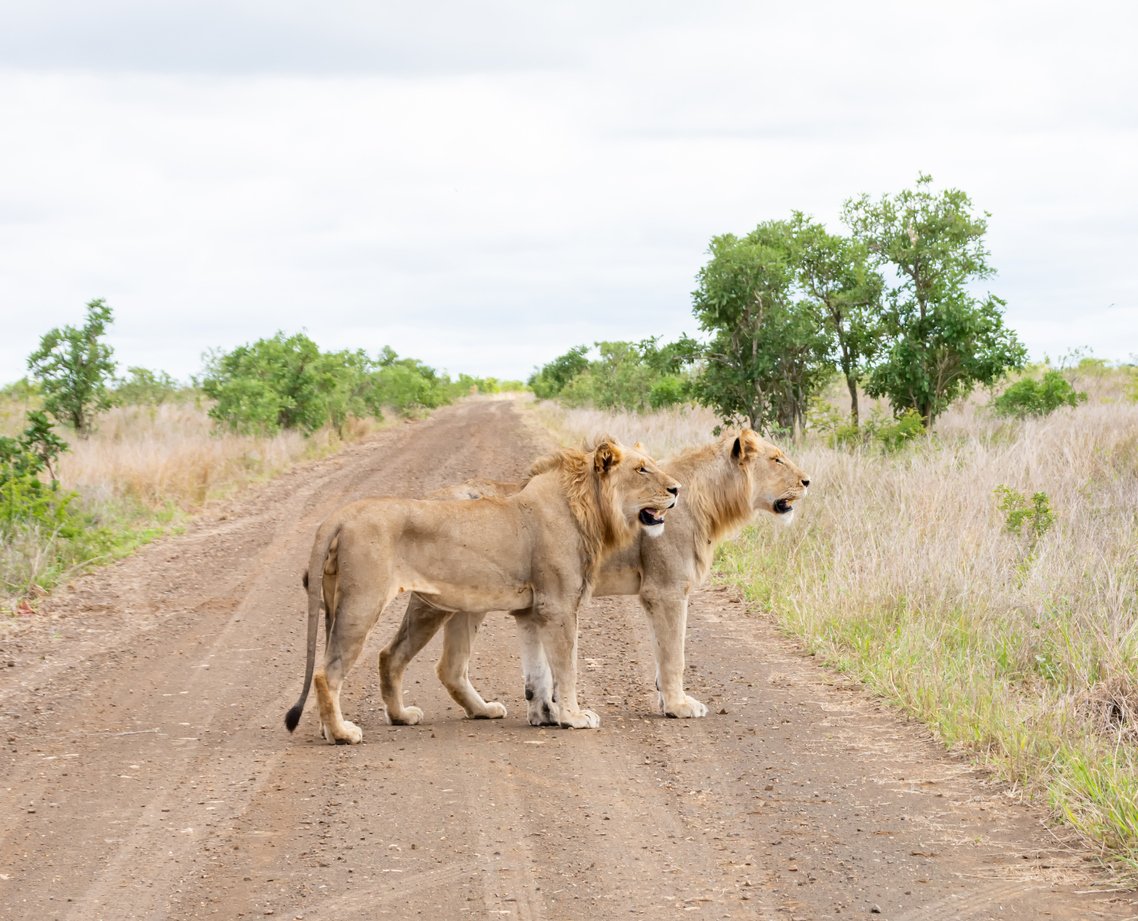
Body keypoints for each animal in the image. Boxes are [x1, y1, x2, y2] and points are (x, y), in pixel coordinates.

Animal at [283, 434, 678, 742]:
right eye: (642, 469)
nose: (676, 489)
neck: (587, 507)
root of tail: (340, 515)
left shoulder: (532, 609)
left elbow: (540, 672)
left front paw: (547, 715)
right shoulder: (559, 606)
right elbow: (565, 668)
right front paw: (574, 717)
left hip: (435, 605)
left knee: (409, 660)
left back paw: (412, 715)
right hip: (363, 603)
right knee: (327, 672)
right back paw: (342, 733)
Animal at [382, 430, 810, 724]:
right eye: (777, 459)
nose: (807, 481)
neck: (705, 500)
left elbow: (660, 656)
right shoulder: (666, 590)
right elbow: (674, 655)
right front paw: (678, 706)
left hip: (470, 601)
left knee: (449, 667)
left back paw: (482, 709)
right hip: (438, 602)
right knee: (401, 655)